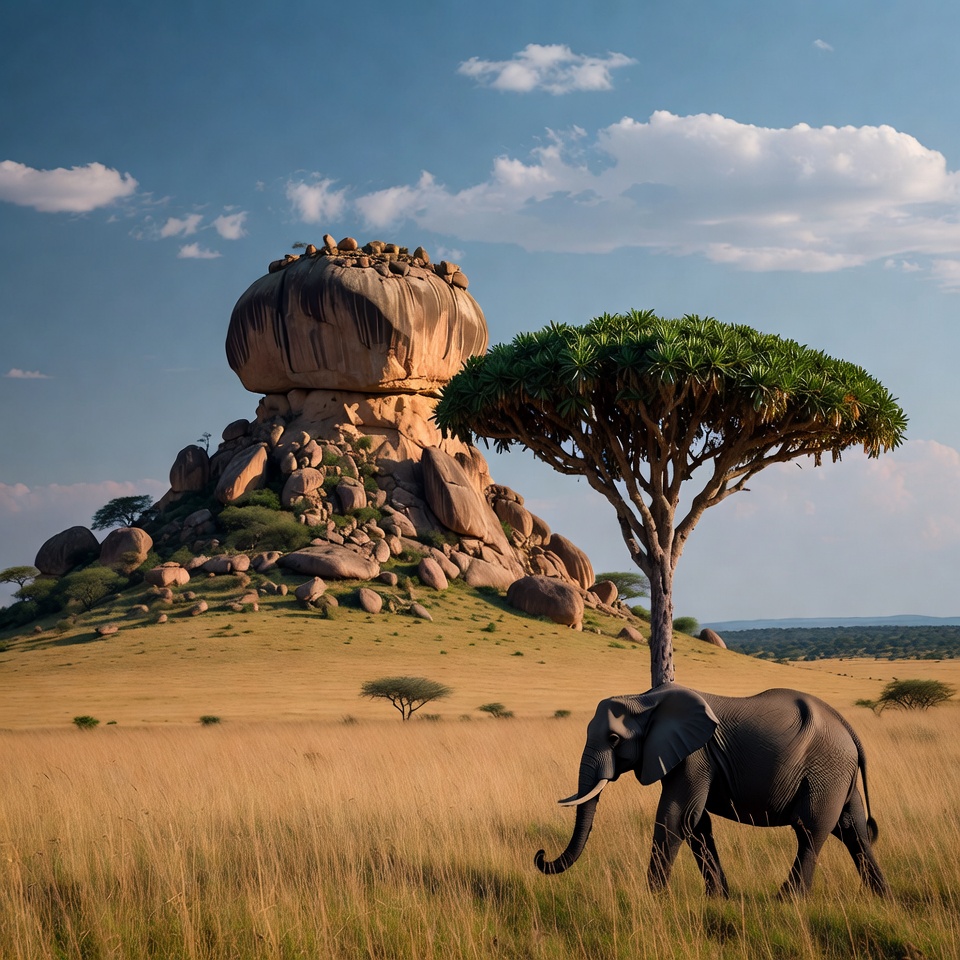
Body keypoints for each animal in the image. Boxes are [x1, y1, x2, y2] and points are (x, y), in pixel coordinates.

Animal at [535, 685, 887, 897]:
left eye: (613, 739)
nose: (540, 855)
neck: (645, 699)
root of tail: (850, 730)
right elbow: (697, 823)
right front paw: (719, 898)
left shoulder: (695, 755)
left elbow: (676, 818)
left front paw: (653, 898)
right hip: (839, 775)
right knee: (853, 830)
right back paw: (881, 898)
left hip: (826, 770)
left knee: (810, 830)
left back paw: (788, 900)